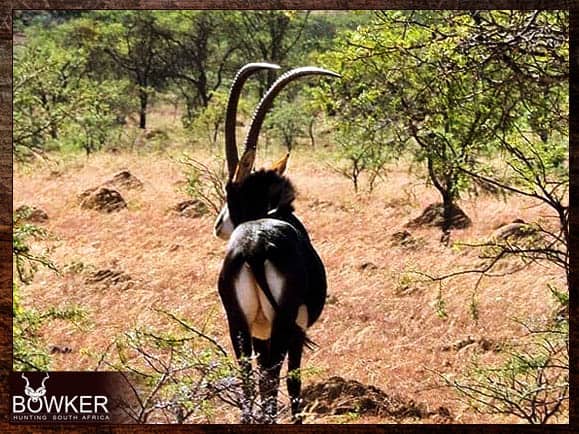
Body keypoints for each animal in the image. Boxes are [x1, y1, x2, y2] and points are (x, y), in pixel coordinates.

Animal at [214, 62, 340, 422]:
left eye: (231, 193)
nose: (219, 226)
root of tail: (255, 246)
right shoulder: (296, 329)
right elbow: (294, 383)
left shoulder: (258, 332)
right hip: (283, 326)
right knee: (272, 378)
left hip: (238, 324)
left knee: (248, 378)